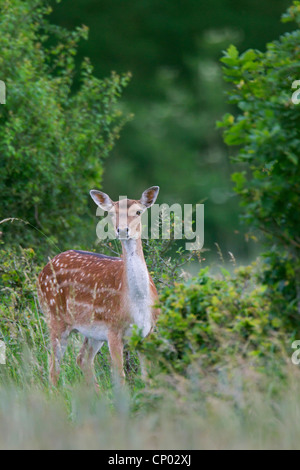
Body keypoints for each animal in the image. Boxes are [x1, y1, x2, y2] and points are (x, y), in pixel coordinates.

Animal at [37, 185, 161, 388]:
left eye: (138, 212)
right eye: (111, 213)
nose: (122, 230)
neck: (138, 304)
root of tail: (44, 269)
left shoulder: (148, 332)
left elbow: (148, 378)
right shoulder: (113, 329)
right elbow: (120, 376)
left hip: (92, 330)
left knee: (82, 358)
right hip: (54, 316)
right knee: (53, 367)